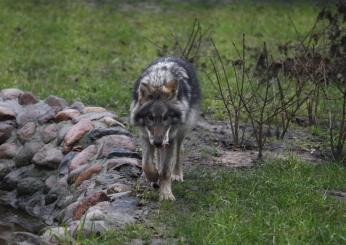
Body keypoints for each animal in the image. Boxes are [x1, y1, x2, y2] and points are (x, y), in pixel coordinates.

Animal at [129, 57, 200, 201]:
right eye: (150, 117)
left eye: (166, 117)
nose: (158, 142)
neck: (158, 81)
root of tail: (173, 57)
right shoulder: (145, 137)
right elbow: (146, 164)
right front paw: (154, 177)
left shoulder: (170, 138)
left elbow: (166, 170)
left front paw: (166, 194)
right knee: (158, 156)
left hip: (180, 132)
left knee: (179, 151)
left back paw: (177, 174)